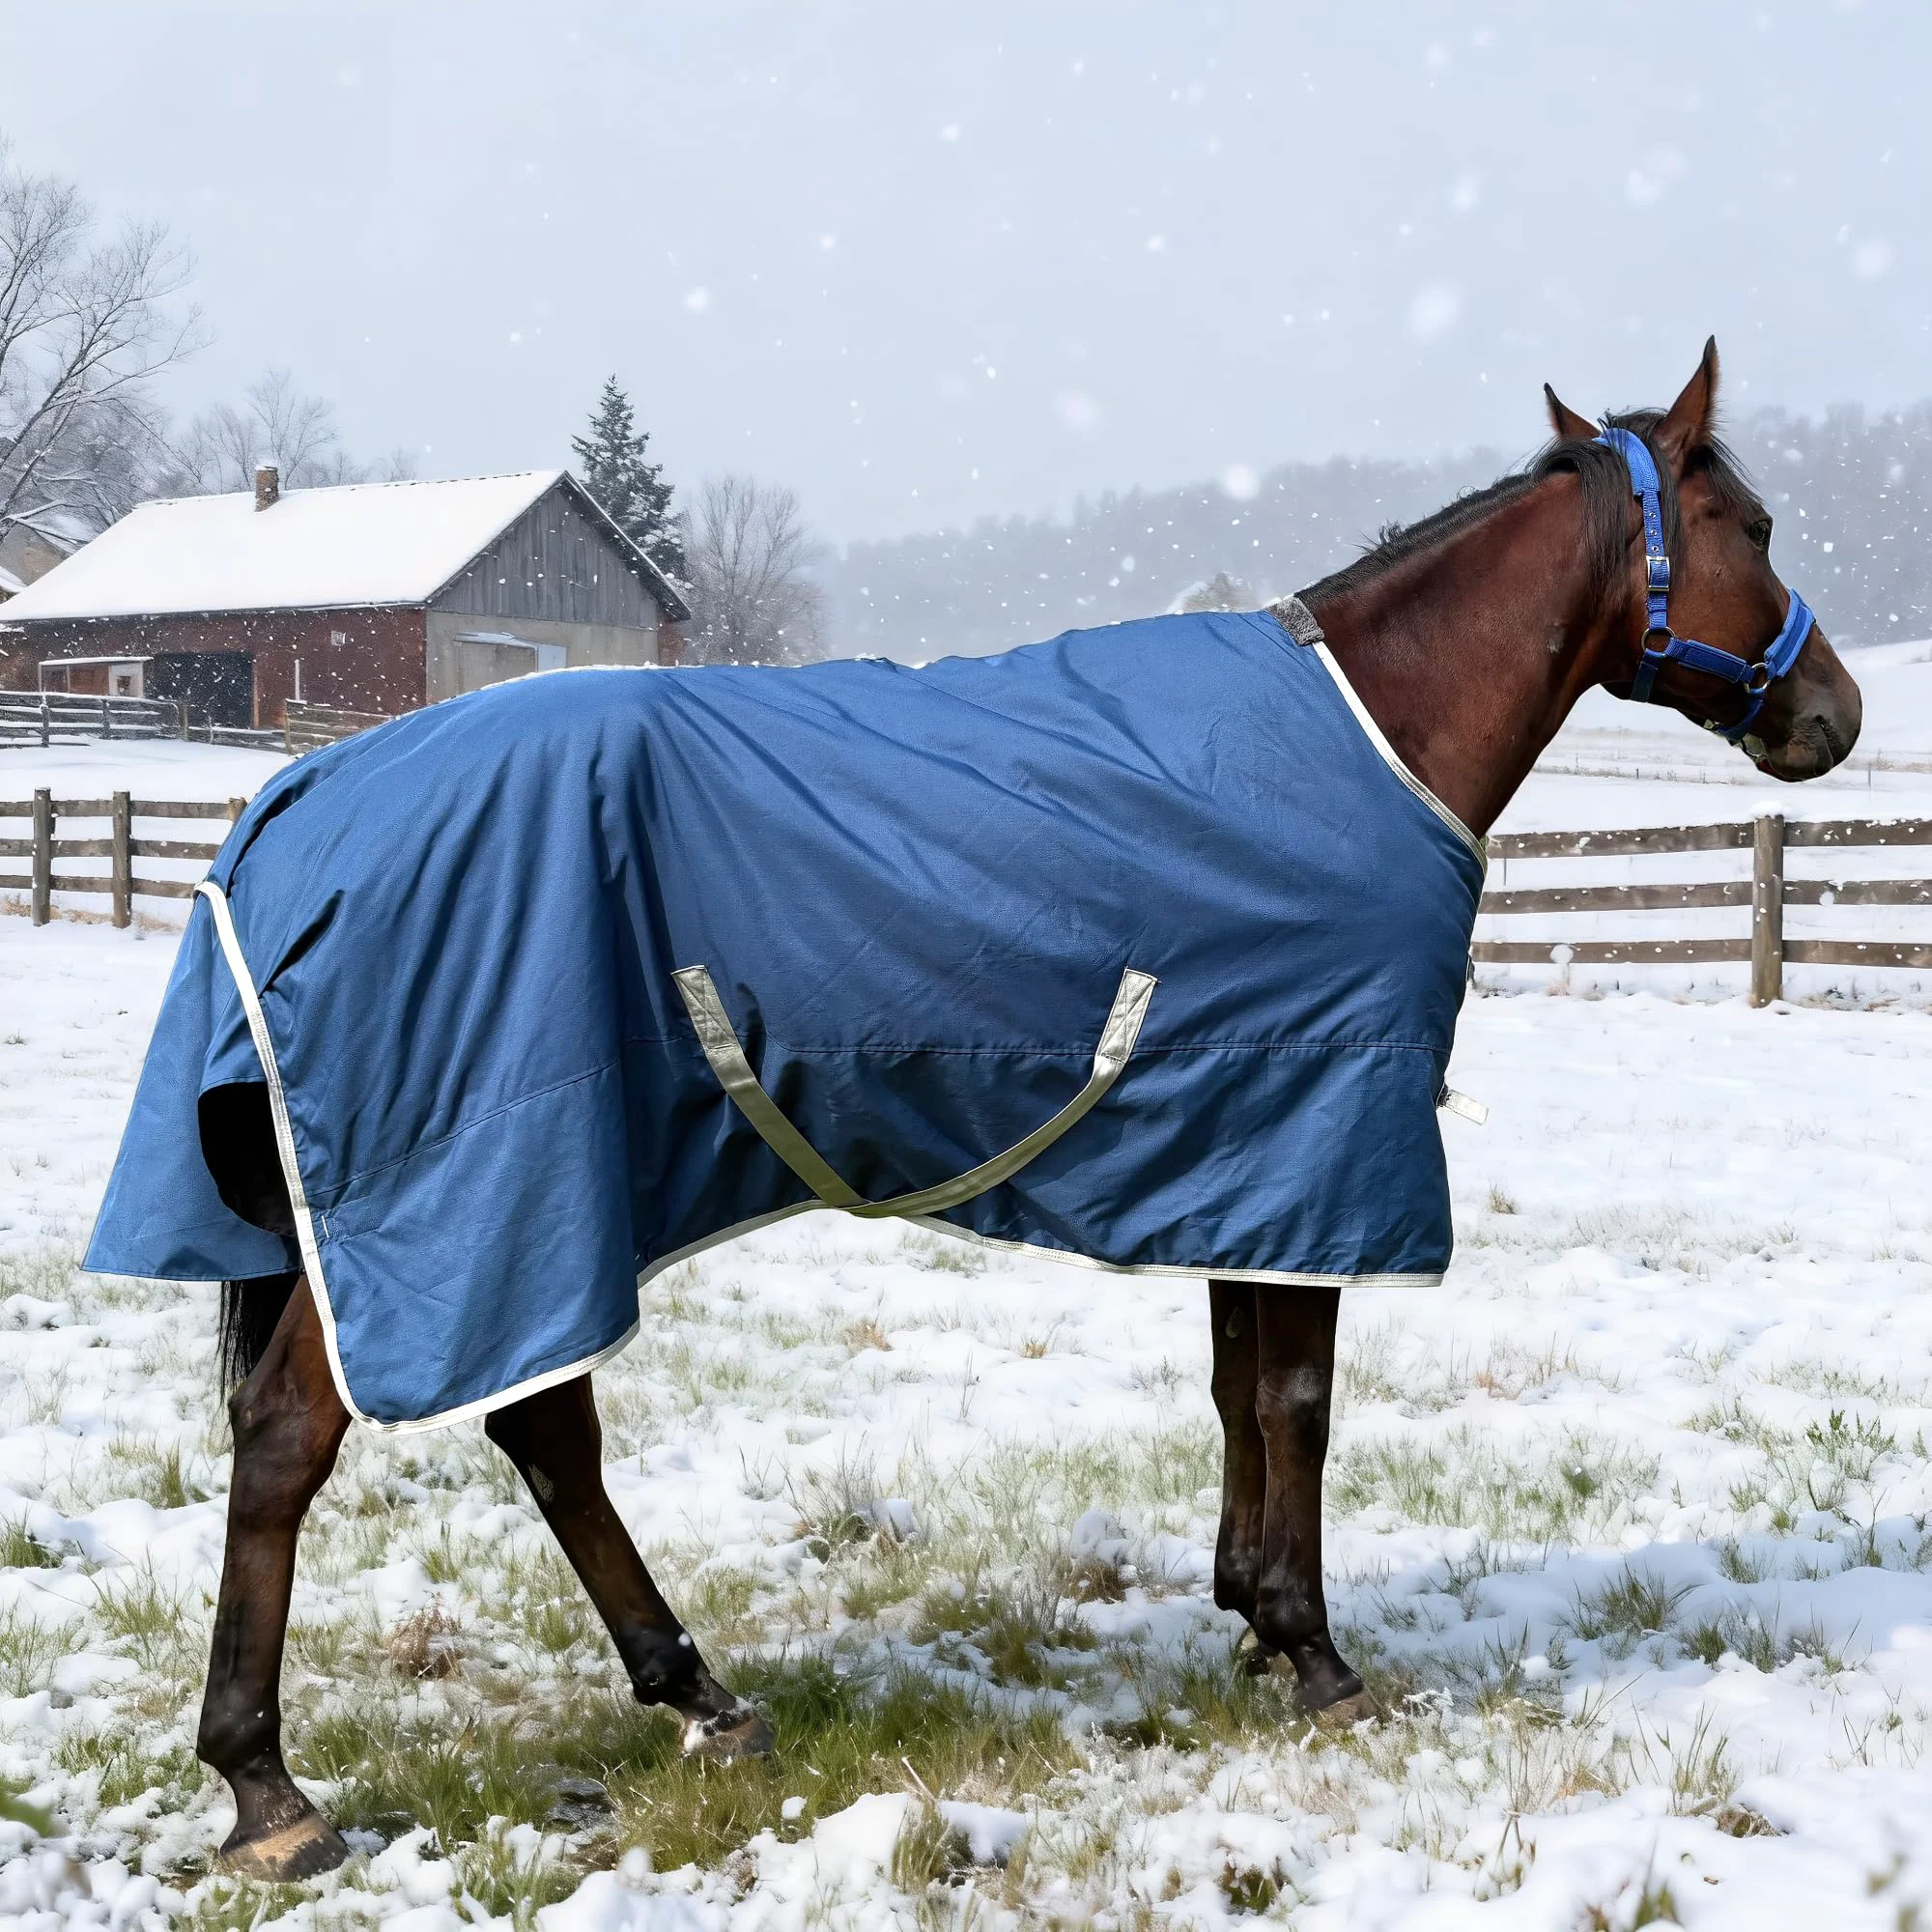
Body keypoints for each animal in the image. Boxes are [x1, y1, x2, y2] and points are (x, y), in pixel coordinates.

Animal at [107, 340, 1858, 1880]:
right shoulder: (1322, 1133)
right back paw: (270, 1792)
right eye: (1753, 528)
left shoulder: (1248, 1150)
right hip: (470, 1192)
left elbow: (1237, 1389)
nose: (1831, 715)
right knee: (303, 1439)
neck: (1370, 734)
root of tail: (300, 795)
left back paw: (698, 1699)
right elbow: (1296, 1398)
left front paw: (1245, 1614)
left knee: (534, 1430)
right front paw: (1314, 1655)